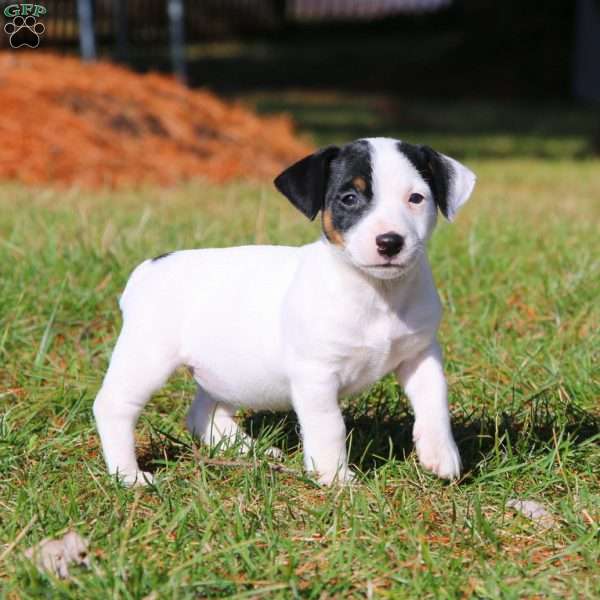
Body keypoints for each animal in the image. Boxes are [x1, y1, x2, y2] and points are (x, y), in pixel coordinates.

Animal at [91, 138, 476, 486]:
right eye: (349, 198)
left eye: (416, 198)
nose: (390, 242)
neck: (377, 293)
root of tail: (148, 268)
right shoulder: (316, 375)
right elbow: (329, 426)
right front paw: (336, 478)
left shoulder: (421, 355)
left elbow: (434, 402)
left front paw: (441, 455)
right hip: (146, 358)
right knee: (113, 406)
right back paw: (128, 475)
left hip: (229, 372)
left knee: (203, 414)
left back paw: (253, 451)